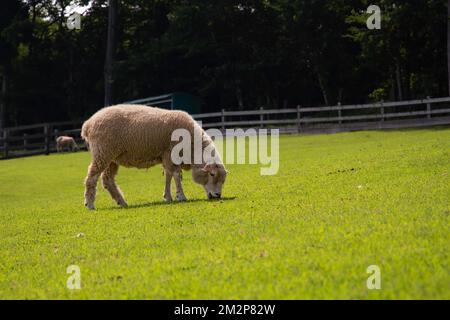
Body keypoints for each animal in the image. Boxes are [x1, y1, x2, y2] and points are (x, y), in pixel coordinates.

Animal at [81, 104, 227, 210]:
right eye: (212, 174)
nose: (217, 196)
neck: (192, 148)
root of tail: (88, 124)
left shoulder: (166, 156)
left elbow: (168, 175)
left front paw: (168, 197)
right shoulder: (170, 152)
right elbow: (175, 175)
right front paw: (180, 196)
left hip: (112, 158)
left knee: (108, 180)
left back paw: (122, 202)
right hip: (102, 152)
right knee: (91, 177)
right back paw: (90, 204)